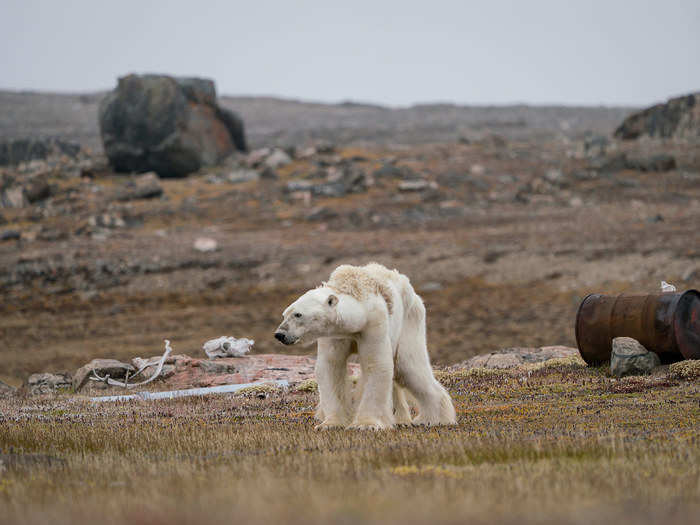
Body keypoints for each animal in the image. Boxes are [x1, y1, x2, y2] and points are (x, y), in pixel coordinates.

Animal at [274, 262, 454, 430]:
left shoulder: (373, 323)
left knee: (408, 366)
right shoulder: (335, 334)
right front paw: (330, 424)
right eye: (284, 314)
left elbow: (375, 364)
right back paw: (400, 418)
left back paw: (432, 419)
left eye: (298, 314)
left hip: (409, 320)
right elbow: (331, 366)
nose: (280, 334)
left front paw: (366, 424)